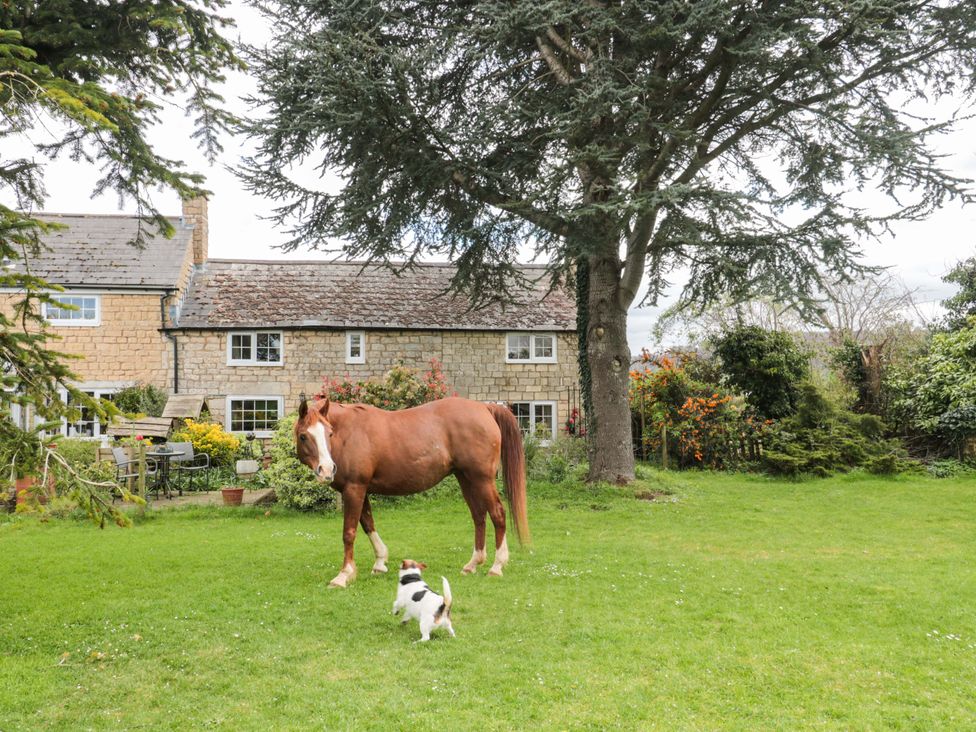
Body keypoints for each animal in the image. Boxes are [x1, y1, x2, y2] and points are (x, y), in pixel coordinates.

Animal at [295, 395, 529, 588]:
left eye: (329, 433)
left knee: (497, 513)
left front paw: (344, 575)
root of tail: (484, 407)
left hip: (482, 479)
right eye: (304, 436)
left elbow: (349, 532)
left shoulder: (354, 488)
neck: (348, 433)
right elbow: (368, 523)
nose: (326, 470)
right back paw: (472, 564)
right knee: (479, 516)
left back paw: (497, 566)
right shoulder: (360, 489)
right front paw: (380, 562)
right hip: (466, 478)